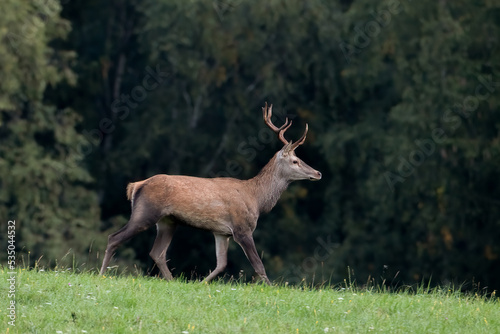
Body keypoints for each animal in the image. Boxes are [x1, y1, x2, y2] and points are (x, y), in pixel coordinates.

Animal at [99, 102, 322, 284]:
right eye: (295, 160)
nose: (318, 173)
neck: (257, 199)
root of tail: (136, 185)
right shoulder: (242, 228)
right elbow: (259, 265)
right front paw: (270, 288)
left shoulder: (221, 232)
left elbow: (221, 264)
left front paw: (201, 283)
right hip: (145, 212)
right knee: (114, 238)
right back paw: (101, 274)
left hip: (168, 221)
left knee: (157, 252)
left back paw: (172, 281)